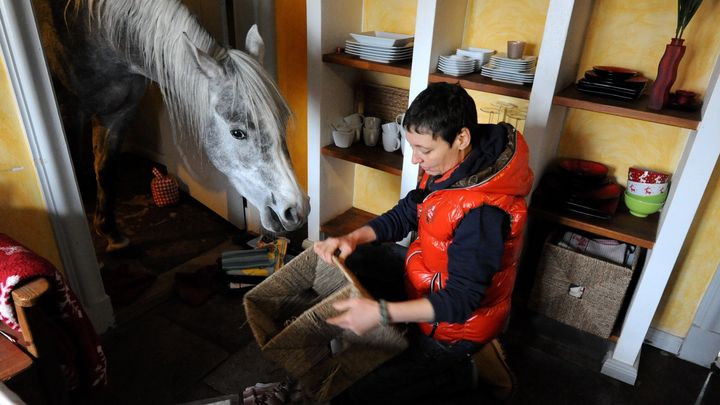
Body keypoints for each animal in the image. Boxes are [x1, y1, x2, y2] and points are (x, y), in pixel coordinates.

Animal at [32, 0, 308, 251]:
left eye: (282, 120)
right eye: (237, 132)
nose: (296, 210)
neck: (94, 29)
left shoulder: (118, 114)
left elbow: (106, 170)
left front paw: (111, 232)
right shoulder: (70, 113)